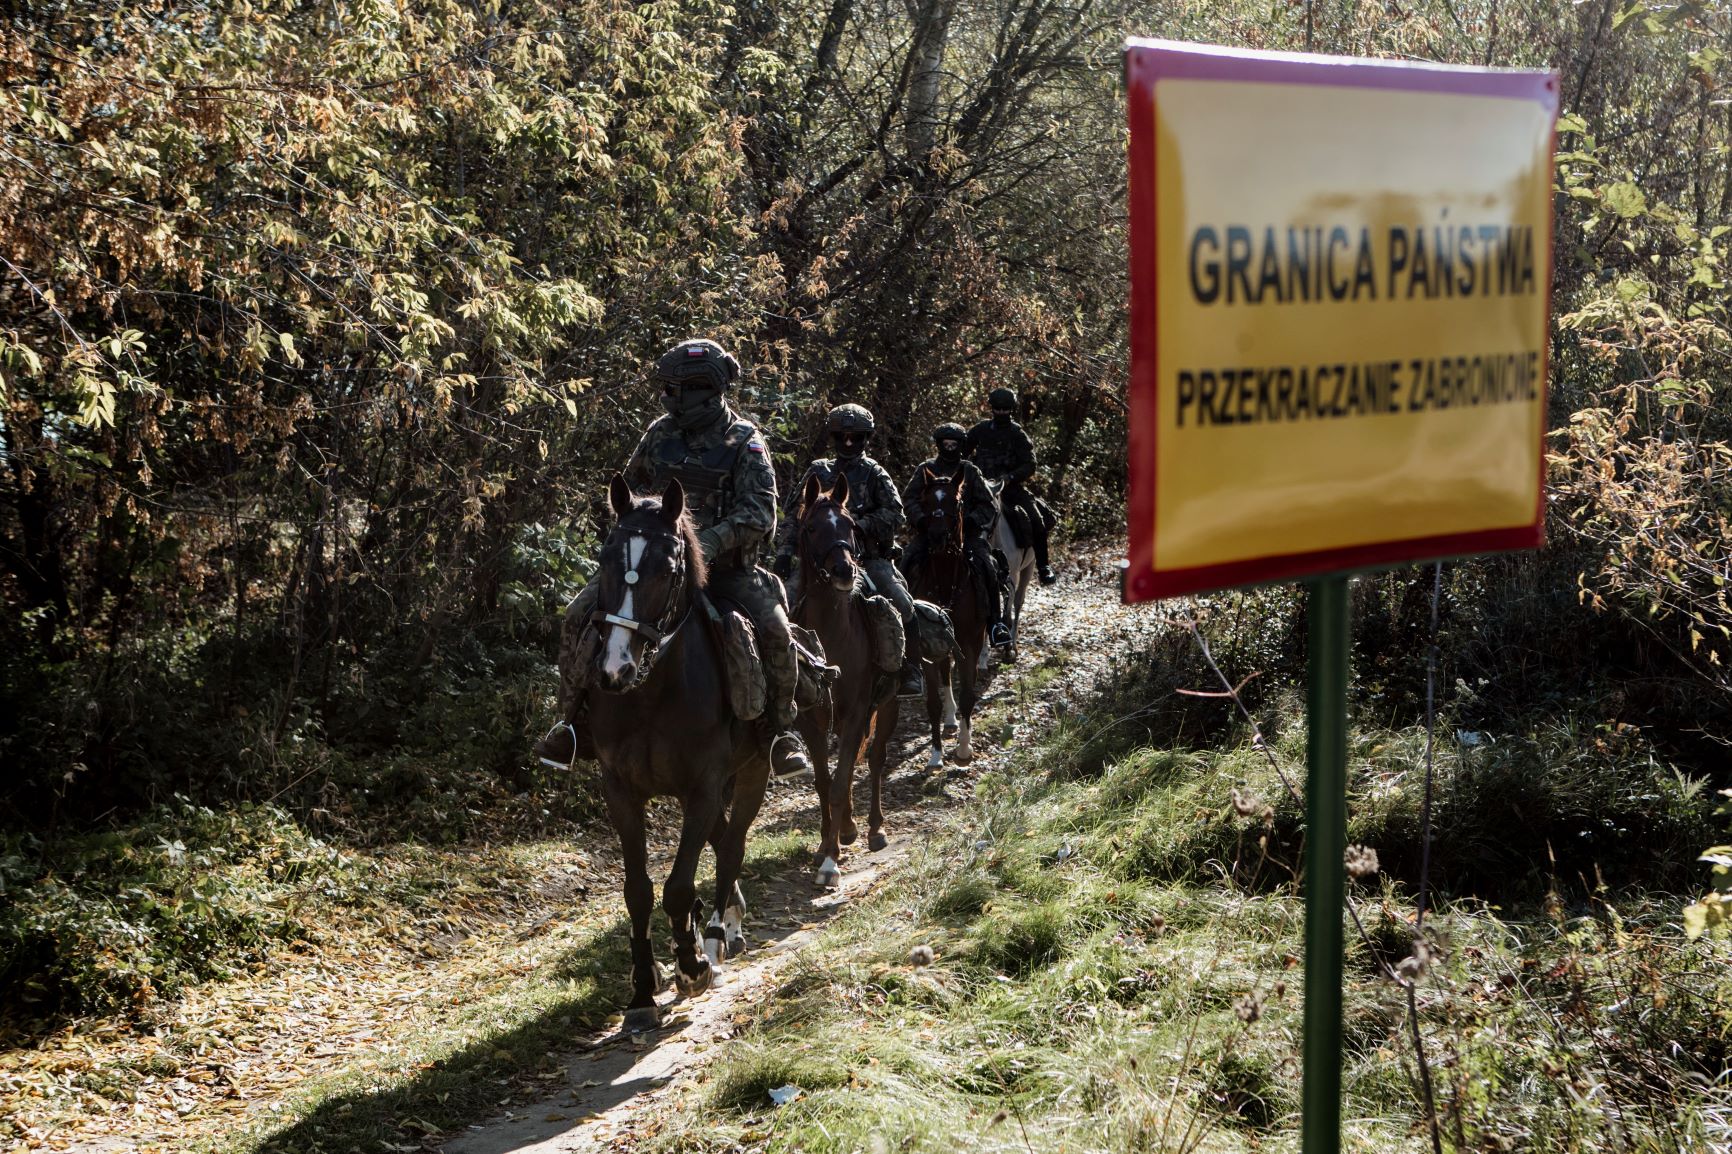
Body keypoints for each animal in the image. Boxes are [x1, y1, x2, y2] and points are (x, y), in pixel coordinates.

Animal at [585, 471, 769, 1025]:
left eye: (666, 570)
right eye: (606, 558)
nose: (614, 670)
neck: (650, 692)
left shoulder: (702, 788)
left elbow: (679, 885)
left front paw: (691, 965)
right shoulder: (620, 792)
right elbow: (639, 891)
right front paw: (643, 988)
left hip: (755, 770)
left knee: (730, 848)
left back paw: (715, 938)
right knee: (723, 840)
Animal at [793, 471, 900, 883]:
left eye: (851, 525)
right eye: (810, 528)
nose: (844, 571)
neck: (832, 639)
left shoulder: (857, 711)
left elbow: (841, 781)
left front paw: (830, 861)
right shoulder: (812, 719)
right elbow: (825, 783)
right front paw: (827, 843)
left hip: (887, 705)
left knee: (874, 758)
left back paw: (873, 829)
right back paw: (849, 828)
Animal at [907, 464, 990, 769]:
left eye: (956, 502)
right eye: (926, 502)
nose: (937, 537)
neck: (945, 581)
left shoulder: (970, 644)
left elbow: (968, 695)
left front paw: (964, 750)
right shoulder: (926, 650)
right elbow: (933, 700)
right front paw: (935, 754)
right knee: (944, 674)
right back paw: (950, 719)